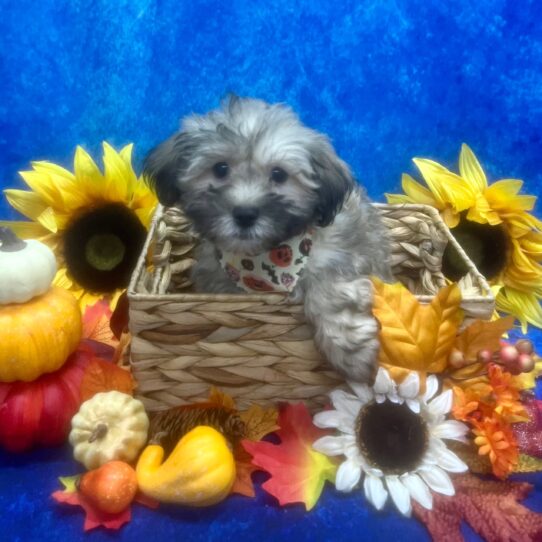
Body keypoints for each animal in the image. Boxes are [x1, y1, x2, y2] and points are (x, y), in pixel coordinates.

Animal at [143, 96, 392, 382]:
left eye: (279, 174)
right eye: (220, 168)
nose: (245, 214)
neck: (266, 259)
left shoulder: (343, 256)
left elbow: (329, 287)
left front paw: (352, 352)